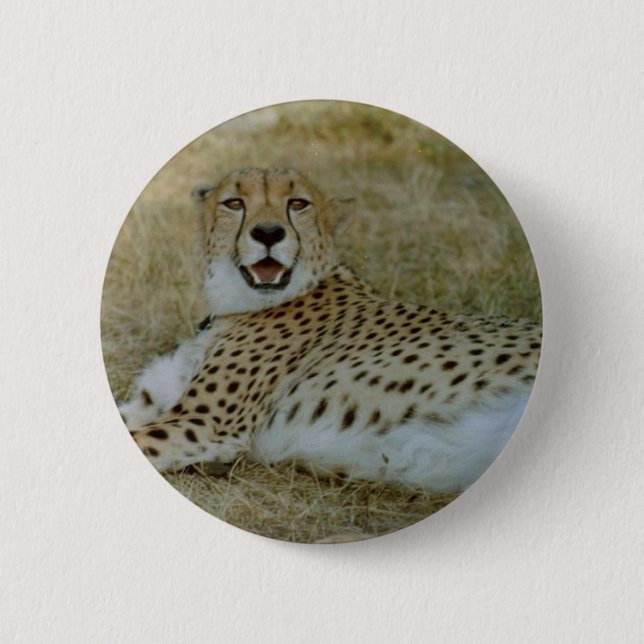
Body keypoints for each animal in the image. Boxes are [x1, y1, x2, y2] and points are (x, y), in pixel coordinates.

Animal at [118, 167, 541, 492]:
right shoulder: (158, 407)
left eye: (298, 204)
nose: (268, 233)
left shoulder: (204, 425)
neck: (233, 305)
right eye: (234, 203)